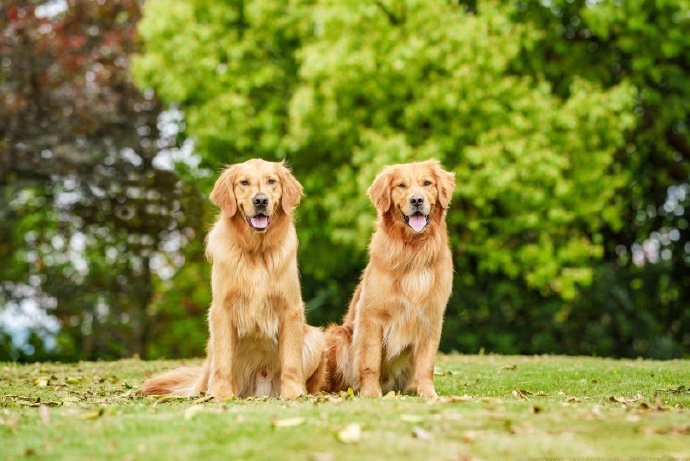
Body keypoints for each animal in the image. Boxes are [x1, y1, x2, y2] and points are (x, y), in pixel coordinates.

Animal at [142, 158, 326, 398]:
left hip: (316, 337)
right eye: (244, 182)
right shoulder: (222, 309)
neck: (256, 252)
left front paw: (294, 393)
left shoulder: (291, 308)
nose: (260, 200)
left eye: (271, 181)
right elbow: (223, 363)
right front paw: (221, 394)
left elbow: (291, 362)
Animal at [324, 160, 454, 398]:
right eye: (401, 185)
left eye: (427, 183)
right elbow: (370, 361)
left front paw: (429, 394)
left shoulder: (431, 318)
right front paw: (370, 393)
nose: (417, 200)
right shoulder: (372, 317)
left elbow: (426, 365)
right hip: (337, 335)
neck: (413, 251)